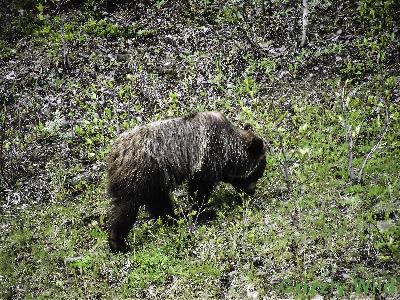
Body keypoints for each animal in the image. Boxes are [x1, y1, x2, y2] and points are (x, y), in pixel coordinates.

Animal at [106, 111, 266, 252]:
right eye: (257, 174)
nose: (251, 192)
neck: (228, 149)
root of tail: (114, 154)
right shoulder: (207, 155)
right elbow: (199, 190)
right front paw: (202, 212)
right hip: (139, 174)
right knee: (126, 208)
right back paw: (118, 243)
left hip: (154, 181)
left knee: (159, 203)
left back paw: (173, 219)